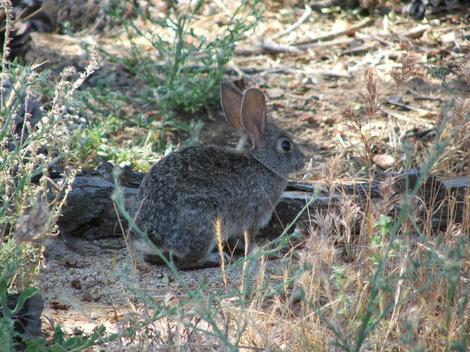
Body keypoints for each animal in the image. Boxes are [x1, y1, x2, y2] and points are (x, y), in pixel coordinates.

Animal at [134, 82, 306, 270]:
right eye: (286, 146)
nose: (302, 161)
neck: (262, 163)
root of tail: (152, 239)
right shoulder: (254, 215)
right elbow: (249, 238)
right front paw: (260, 251)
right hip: (205, 221)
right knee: (186, 262)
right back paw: (216, 258)